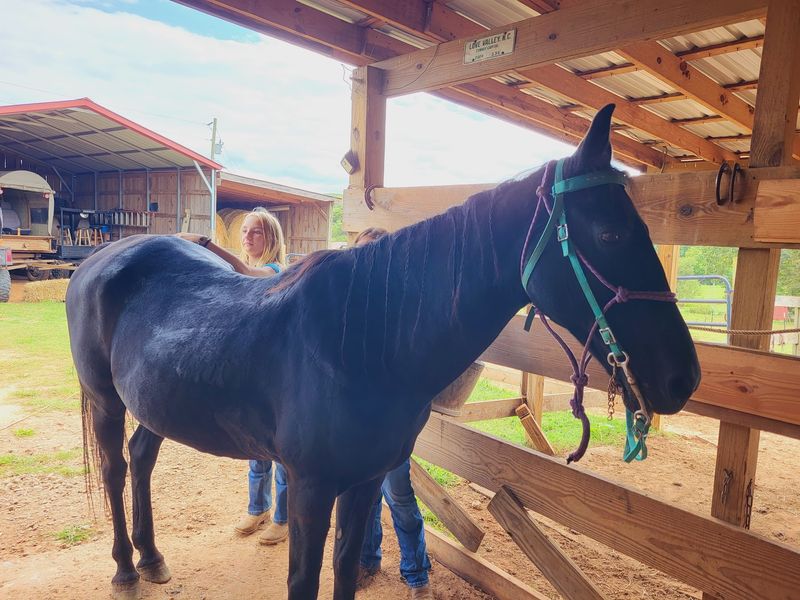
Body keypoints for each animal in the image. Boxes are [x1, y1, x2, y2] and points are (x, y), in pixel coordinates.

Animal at [66, 104, 700, 600]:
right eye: (611, 233)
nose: (684, 378)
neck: (358, 345)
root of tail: (103, 258)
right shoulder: (310, 489)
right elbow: (305, 581)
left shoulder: (365, 482)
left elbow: (347, 572)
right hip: (106, 402)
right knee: (117, 468)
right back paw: (126, 569)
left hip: (157, 405)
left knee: (142, 458)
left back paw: (152, 559)